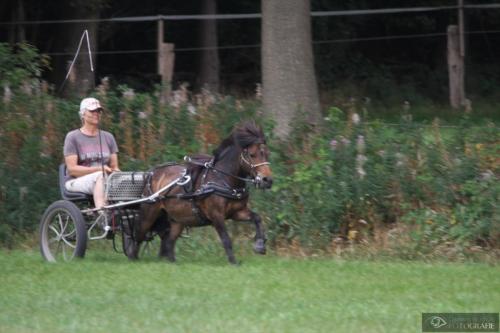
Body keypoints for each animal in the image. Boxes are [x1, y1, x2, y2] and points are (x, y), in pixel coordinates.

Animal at [127, 120, 272, 264]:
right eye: (252, 154)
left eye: (266, 153)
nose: (268, 180)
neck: (223, 179)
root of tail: (152, 174)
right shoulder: (216, 215)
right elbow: (226, 239)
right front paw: (234, 262)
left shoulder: (237, 212)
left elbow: (257, 218)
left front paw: (260, 245)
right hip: (149, 213)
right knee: (139, 235)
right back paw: (133, 257)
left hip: (177, 219)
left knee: (169, 241)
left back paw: (172, 261)